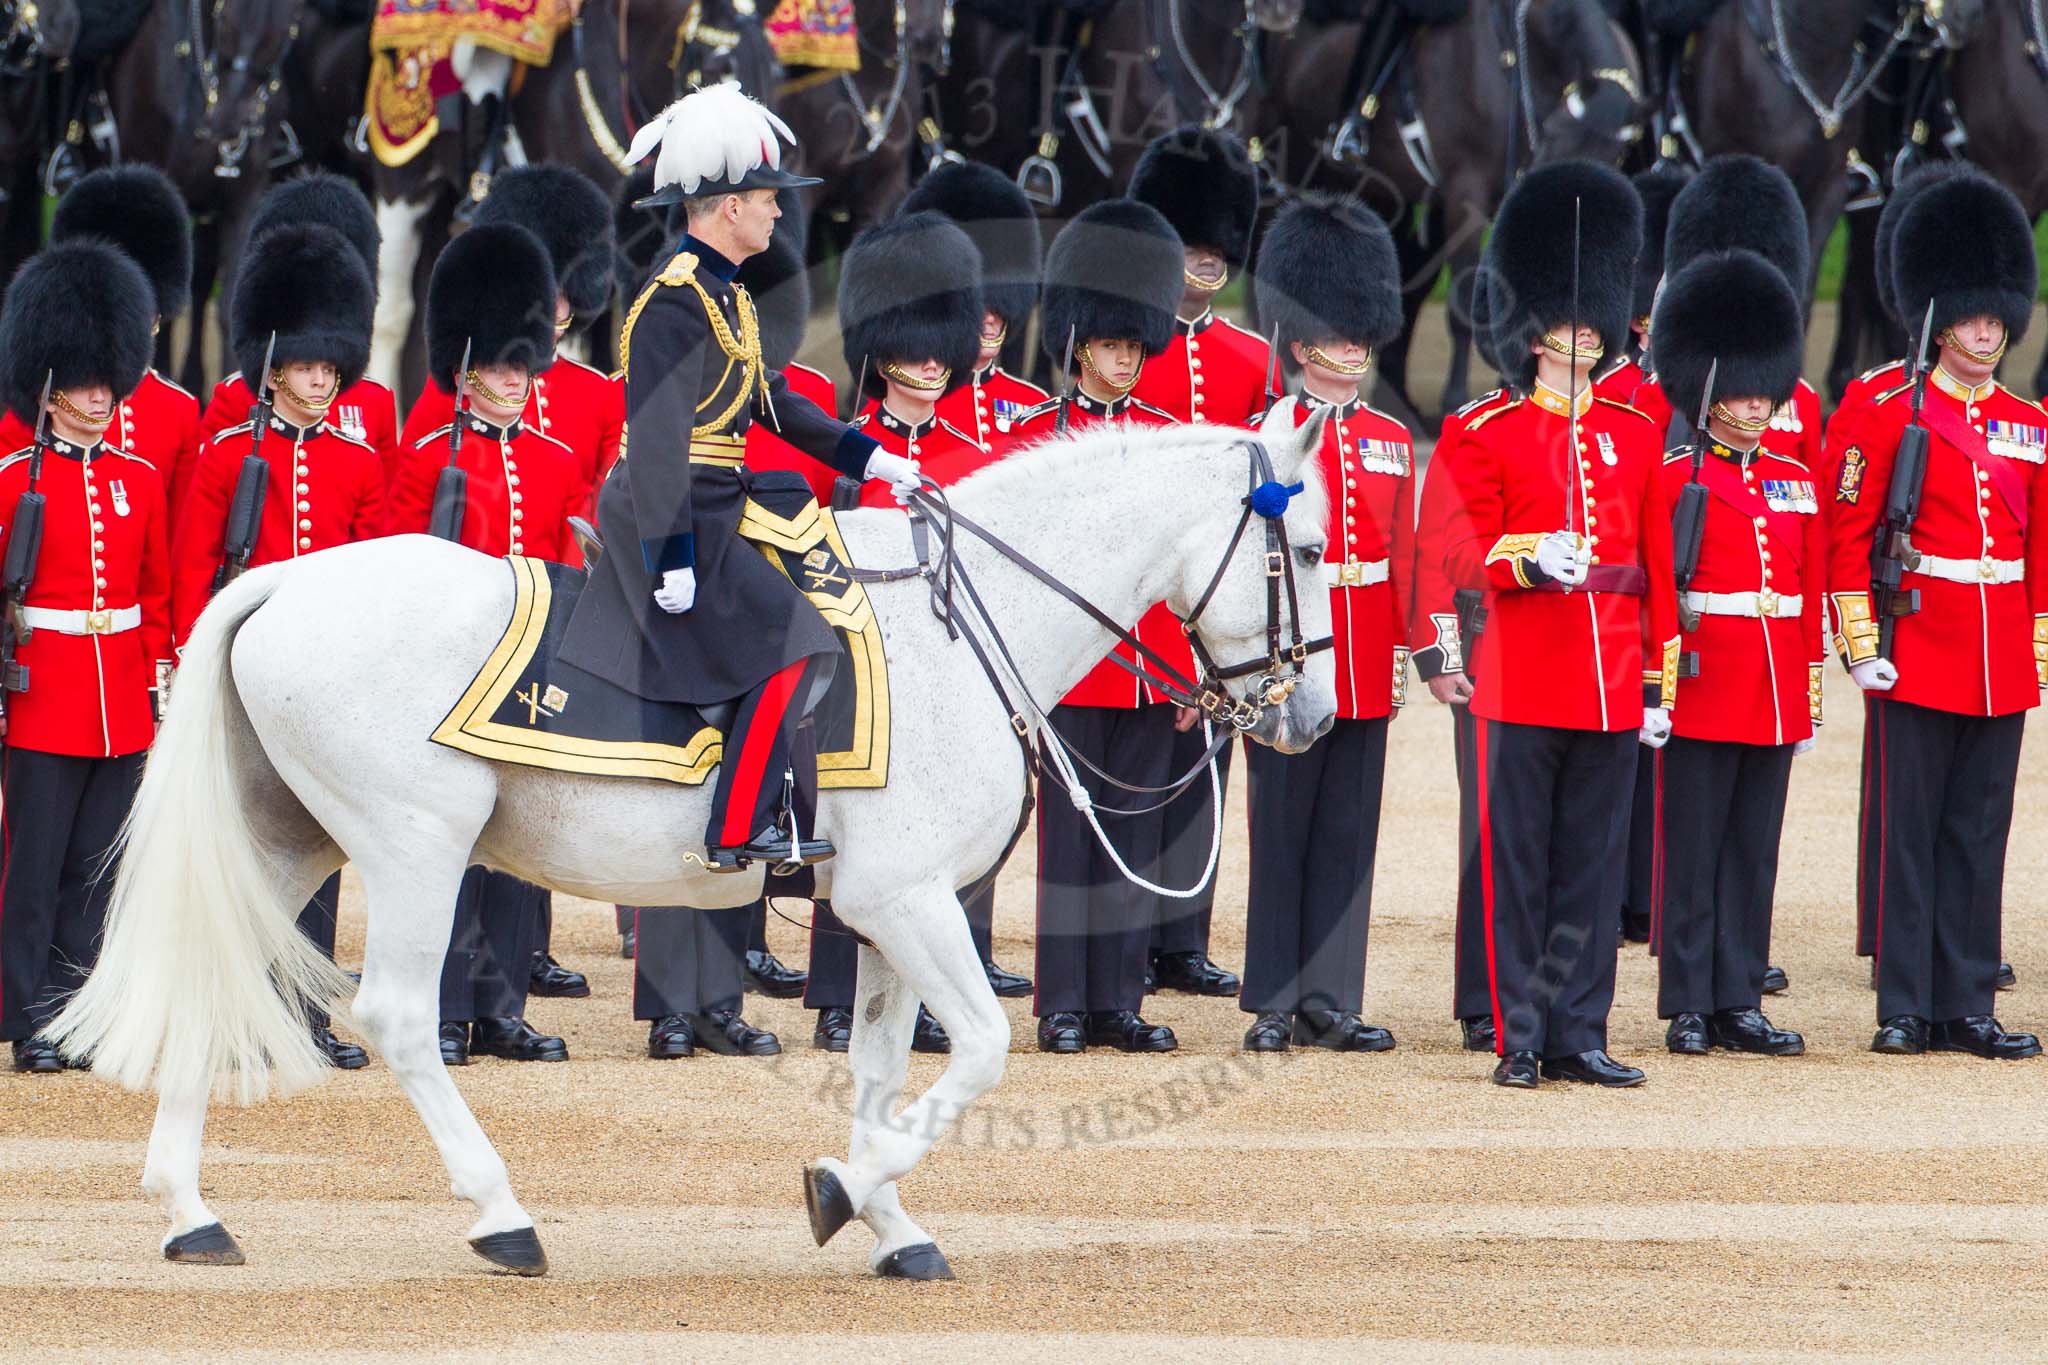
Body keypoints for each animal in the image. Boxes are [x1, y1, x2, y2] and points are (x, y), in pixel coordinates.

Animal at [48, 417, 1335, 1285]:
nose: (1311, 718)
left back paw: (189, 1214)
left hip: (289, 839)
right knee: (402, 1019)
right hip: (418, 846)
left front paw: (888, 1222)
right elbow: (975, 1052)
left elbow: (882, 1070)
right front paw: (844, 1192)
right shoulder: (906, 897)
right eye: (1315, 549)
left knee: (212, 980)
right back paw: (501, 1216)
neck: (962, 626)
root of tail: (277, 584)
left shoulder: (878, 909)